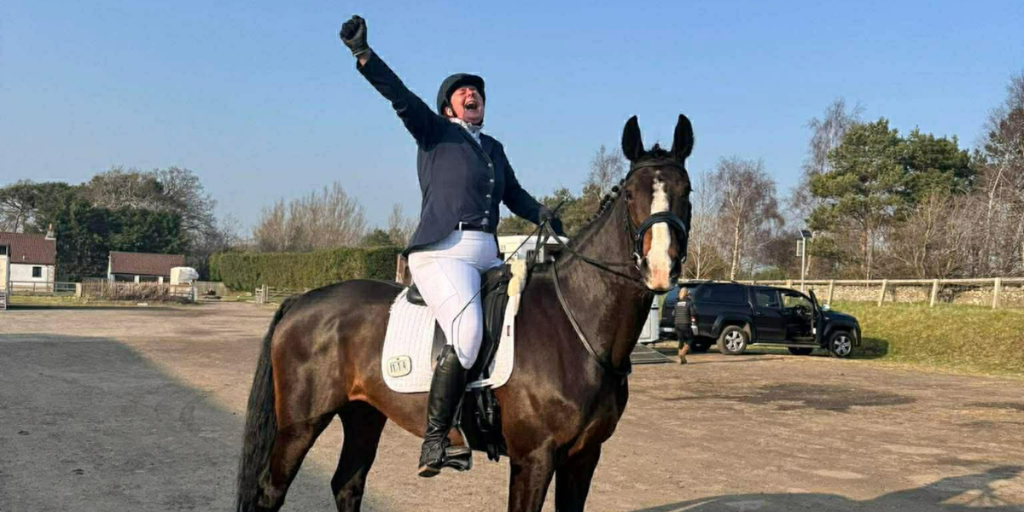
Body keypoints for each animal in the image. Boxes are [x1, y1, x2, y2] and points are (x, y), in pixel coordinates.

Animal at [235, 114, 694, 512]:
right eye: (631, 194)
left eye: (686, 192)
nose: (659, 269)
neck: (575, 325)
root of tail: (302, 300)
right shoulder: (534, 457)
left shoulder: (584, 456)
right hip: (300, 425)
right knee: (270, 492)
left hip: (363, 414)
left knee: (347, 484)